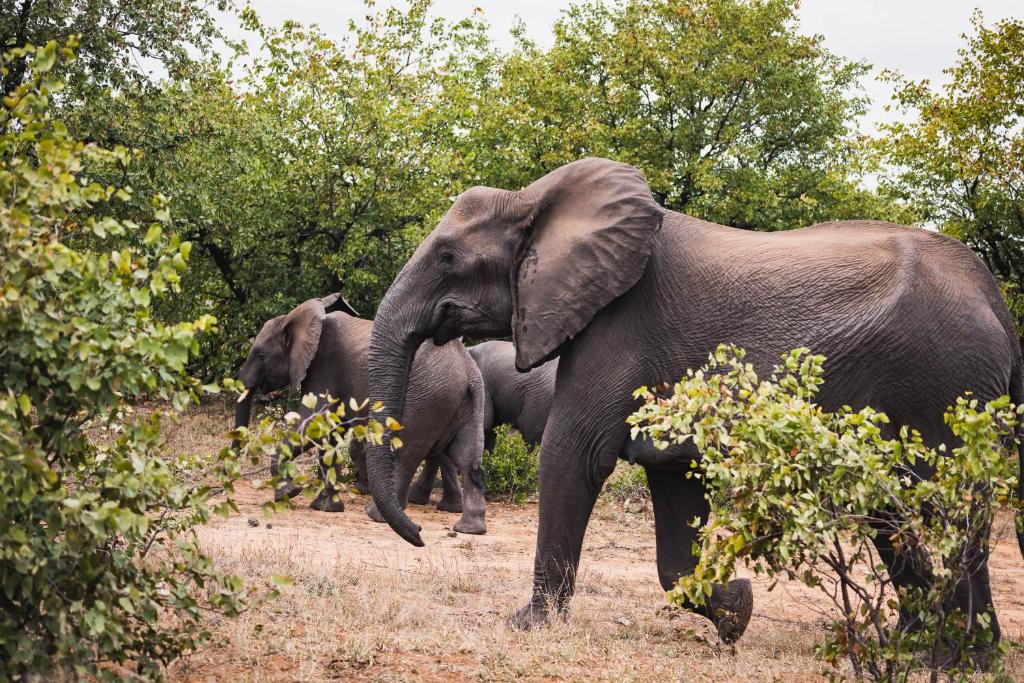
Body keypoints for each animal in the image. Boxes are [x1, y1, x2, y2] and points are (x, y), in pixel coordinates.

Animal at [234, 294, 489, 534]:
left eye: (259, 355)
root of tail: (470, 372)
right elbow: (330, 431)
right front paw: (325, 508)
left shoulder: (323, 367)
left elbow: (315, 423)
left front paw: (288, 493)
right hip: (462, 403)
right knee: (466, 458)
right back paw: (469, 529)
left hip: (428, 400)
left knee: (406, 452)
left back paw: (377, 516)